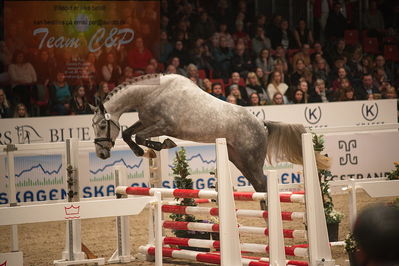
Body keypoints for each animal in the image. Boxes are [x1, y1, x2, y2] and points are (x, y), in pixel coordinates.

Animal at [92, 74, 330, 192]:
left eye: (102, 125)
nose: (101, 154)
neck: (153, 92)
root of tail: (261, 123)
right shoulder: (146, 121)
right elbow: (128, 134)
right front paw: (142, 152)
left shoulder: (164, 125)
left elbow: (141, 137)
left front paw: (162, 146)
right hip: (239, 159)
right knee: (259, 185)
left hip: (250, 160)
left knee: (262, 183)